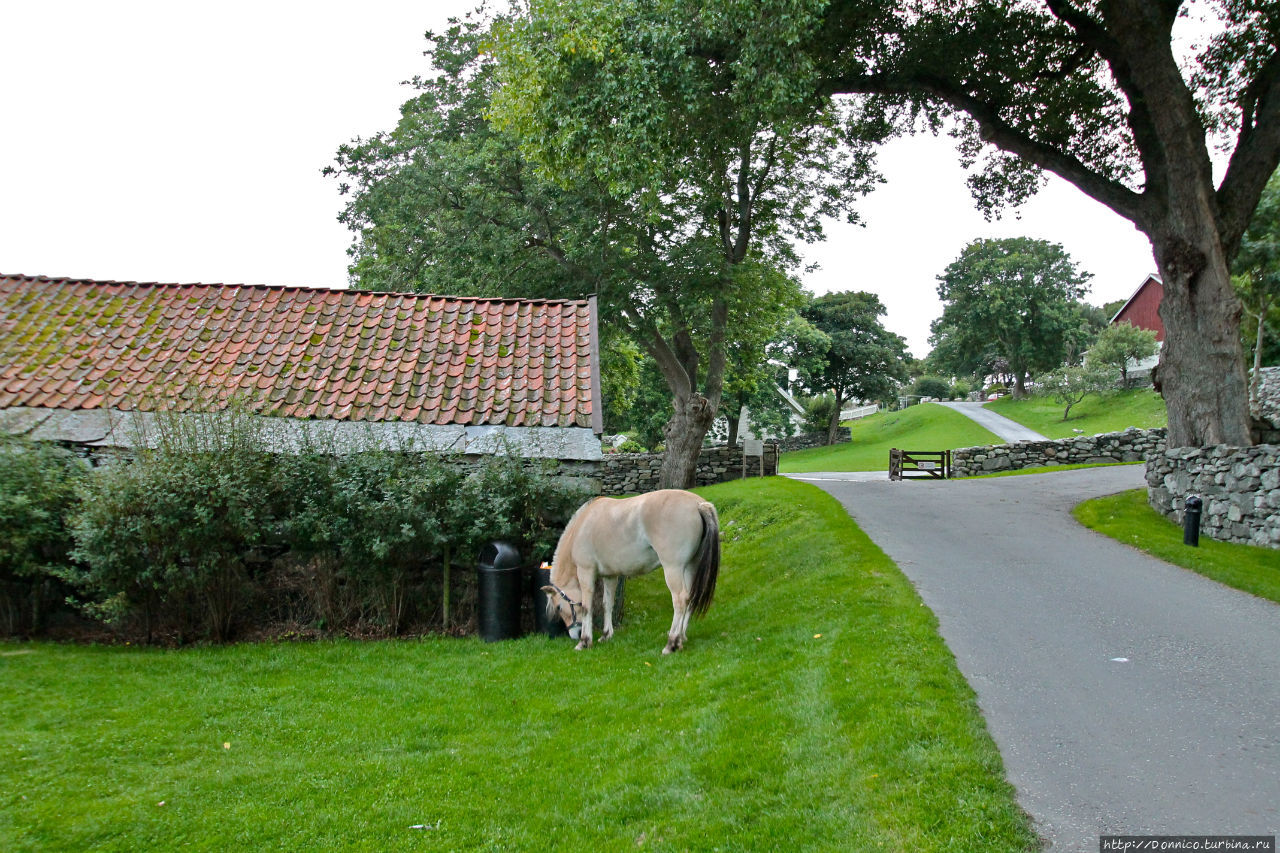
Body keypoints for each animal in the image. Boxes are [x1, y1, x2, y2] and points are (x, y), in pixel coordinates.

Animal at [542, 484, 721, 650]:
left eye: (558, 607)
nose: (575, 633)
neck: (583, 525)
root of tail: (699, 505)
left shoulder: (586, 572)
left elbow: (587, 607)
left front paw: (584, 641)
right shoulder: (610, 576)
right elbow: (607, 604)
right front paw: (606, 635)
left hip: (673, 569)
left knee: (680, 600)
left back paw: (672, 643)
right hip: (690, 566)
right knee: (690, 597)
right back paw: (681, 638)